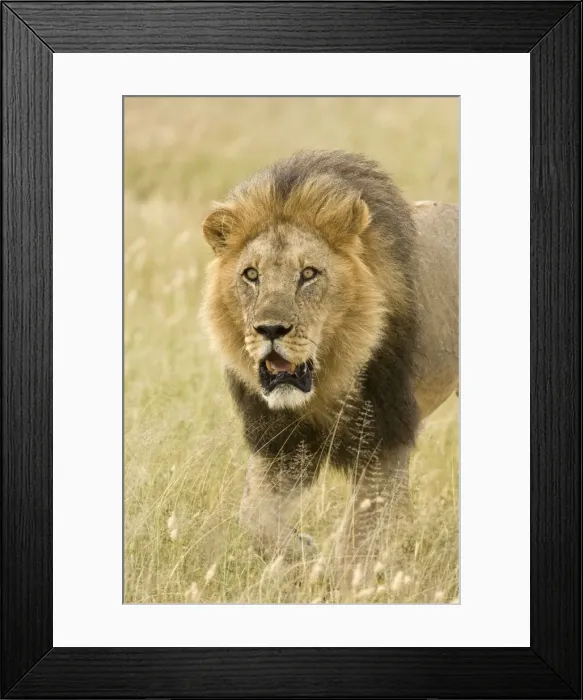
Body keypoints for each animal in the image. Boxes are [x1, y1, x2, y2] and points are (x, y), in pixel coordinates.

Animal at [201, 150, 458, 570]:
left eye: (309, 274)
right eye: (251, 274)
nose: (270, 329)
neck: (325, 381)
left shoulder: (385, 437)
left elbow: (359, 536)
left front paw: (341, 571)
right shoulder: (281, 441)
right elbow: (254, 518)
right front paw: (303, 553)